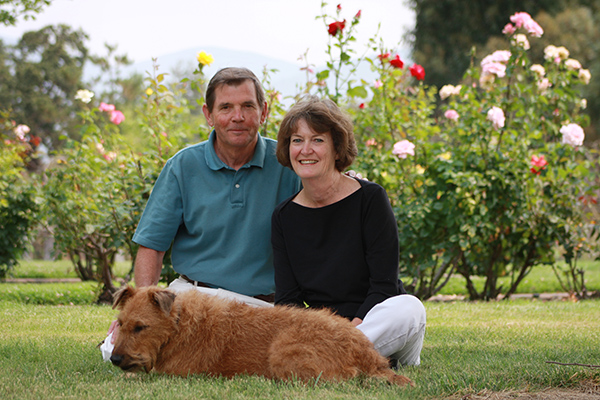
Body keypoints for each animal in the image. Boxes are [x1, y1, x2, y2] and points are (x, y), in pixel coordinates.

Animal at [110, 286, 414, 386]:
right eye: (121, 324)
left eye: (140, 327)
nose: (114, 359)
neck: (178, 325)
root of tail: (367, 354)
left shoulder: (175, 373)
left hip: (283, 353)